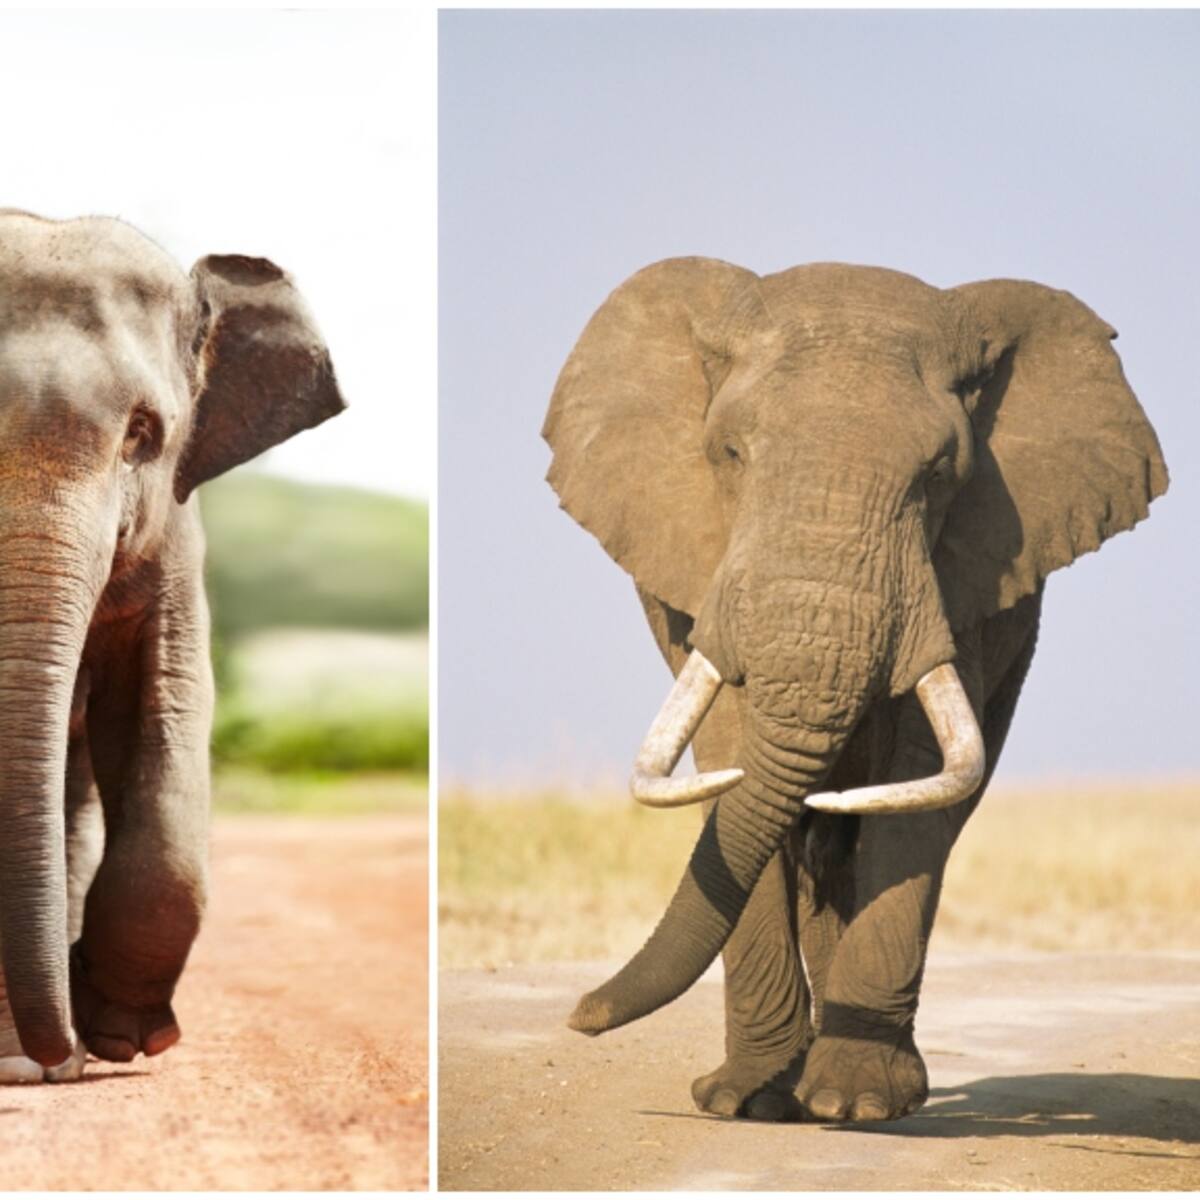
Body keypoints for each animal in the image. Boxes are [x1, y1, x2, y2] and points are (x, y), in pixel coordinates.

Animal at [0, 210, 344, 1083]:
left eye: (142, 435)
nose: (57, 1048)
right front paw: (43, 1058)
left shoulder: (176, 539)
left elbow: (166, 708)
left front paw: (124, 1037)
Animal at [542, 258, 1167, 1122]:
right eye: (730, 453)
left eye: (940, 473)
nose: (579, 1016)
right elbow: (732, 753)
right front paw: (744, 1101)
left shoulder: (967, 571)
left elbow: (914, 776)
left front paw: (858, 1103)